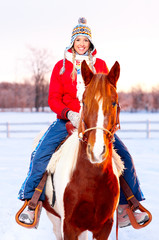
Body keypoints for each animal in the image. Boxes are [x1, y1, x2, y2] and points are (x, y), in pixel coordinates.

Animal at [43, 59, 124, 238]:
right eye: (84, 102)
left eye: (114, 103)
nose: (97, 151)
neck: (91, 180)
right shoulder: (68, 226)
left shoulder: (105, 226)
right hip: (55, 219)